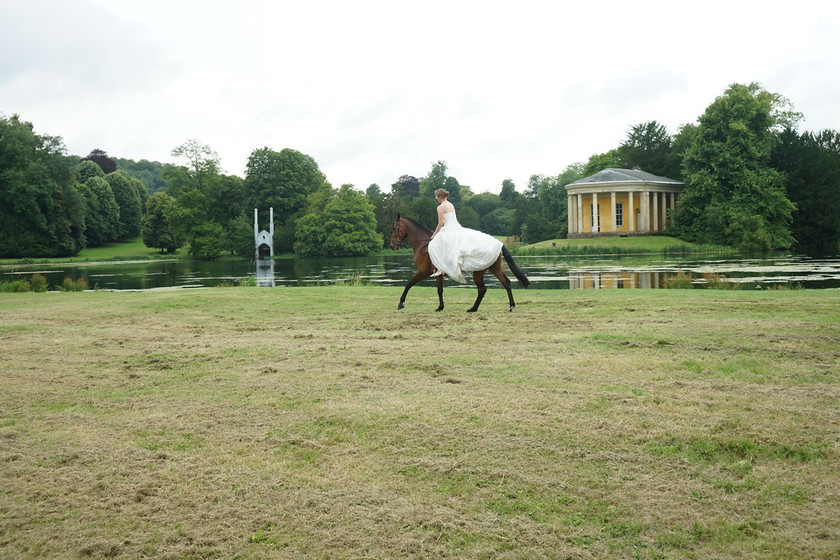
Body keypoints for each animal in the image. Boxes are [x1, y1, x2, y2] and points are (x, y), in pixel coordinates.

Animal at [388, 213, 532, 312]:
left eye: (394, 228)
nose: (391, 245)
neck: (423, 245)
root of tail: (499, 243)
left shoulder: (423, 271)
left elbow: (408, 284)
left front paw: (401, 303)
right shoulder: (438, 274)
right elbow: (439, 290)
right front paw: (440, 307)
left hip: (478, 272)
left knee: (482, 289)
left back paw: (473, 308)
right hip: (494, 268)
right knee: (506, 283)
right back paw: (511, 306)